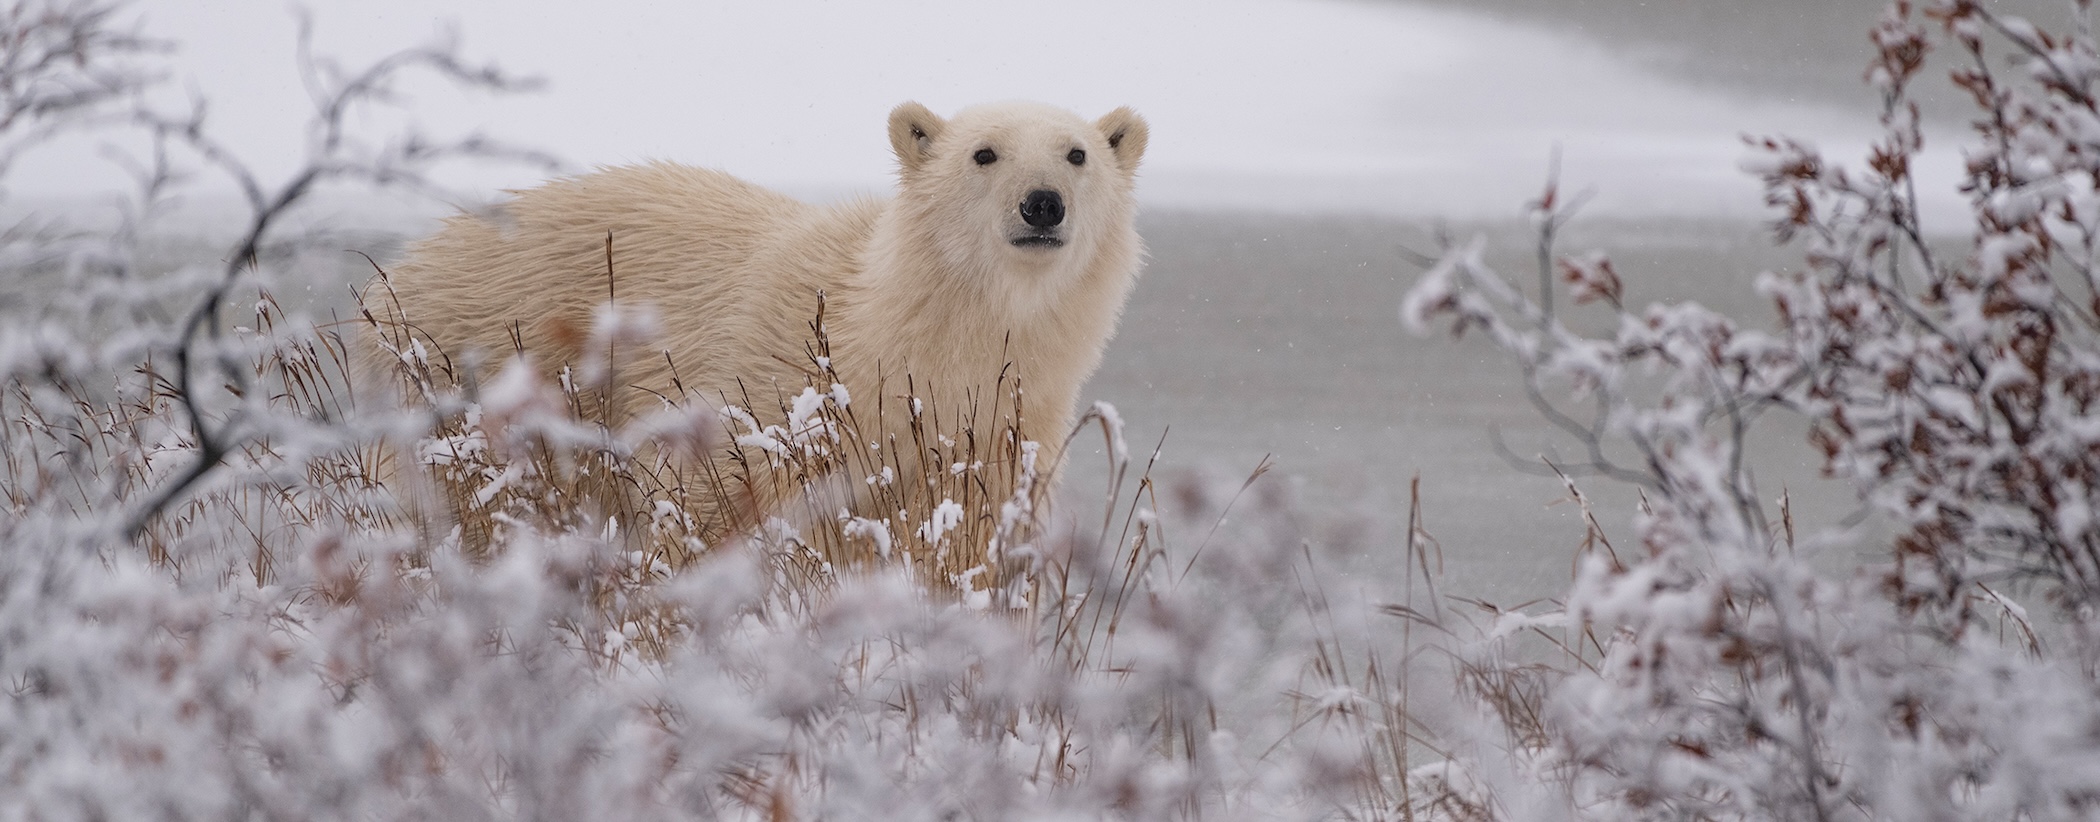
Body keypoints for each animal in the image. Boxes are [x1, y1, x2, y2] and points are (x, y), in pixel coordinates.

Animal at [359, 101, 1149, 550]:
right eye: (984, 153)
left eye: (1078, 153)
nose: (1042, 203)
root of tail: (403, 265)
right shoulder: (774, 392)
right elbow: (706, 499)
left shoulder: (1001, 429)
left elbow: (965, 533)